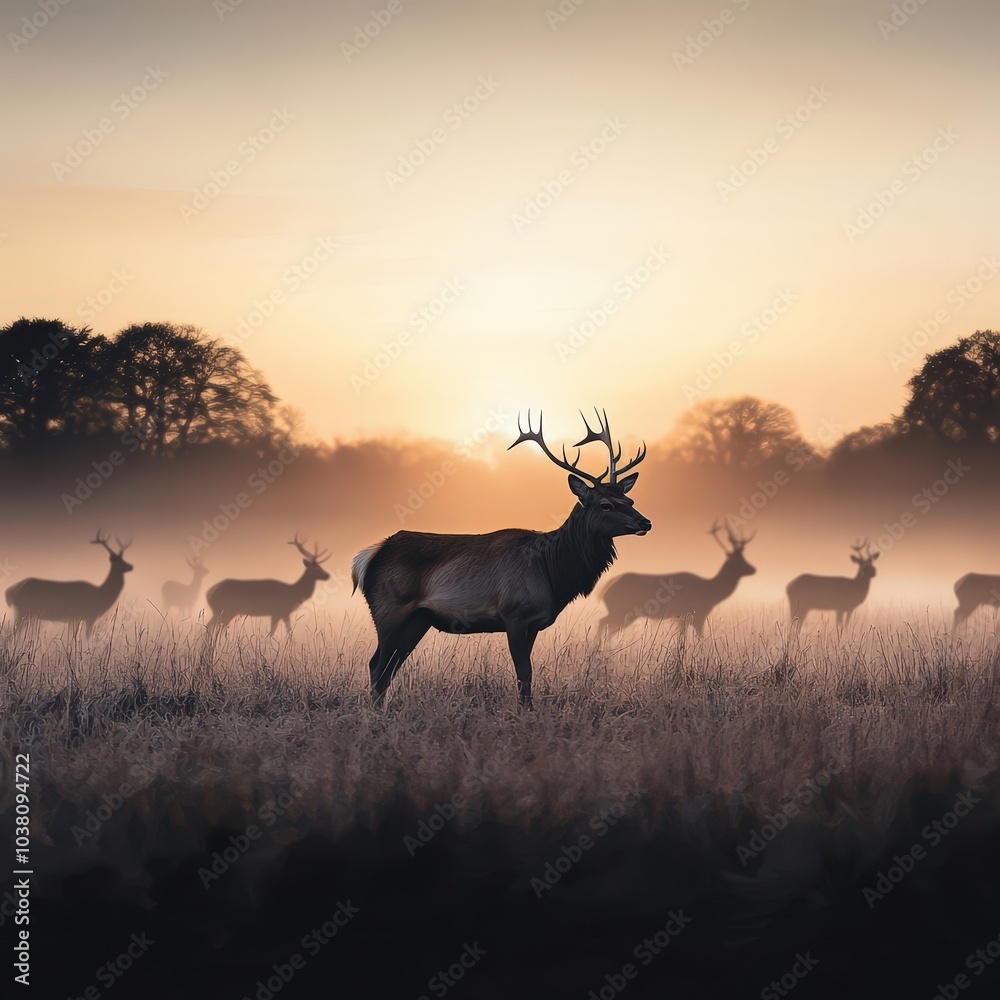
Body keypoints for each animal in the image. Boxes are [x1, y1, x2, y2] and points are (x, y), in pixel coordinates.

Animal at [4, 531, 133, 637]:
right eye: (119, 561)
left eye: (123, 559)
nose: (131, 566)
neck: (101, 594)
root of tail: (12, 590)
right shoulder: (89, 615)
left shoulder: (74, 618)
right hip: (23, 610)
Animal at [352, 409, 651, 707]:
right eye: (605, 504)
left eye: (630, 501)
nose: (645, 522)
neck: (552, 572)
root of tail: (370, 557)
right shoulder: (514, 614)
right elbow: (523, 672)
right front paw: (524, 712)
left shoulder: (534, 623)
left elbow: (527, 673)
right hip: (389, 609)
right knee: (377, 665)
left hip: (418, 619)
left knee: (390, 667)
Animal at [597, 521, 756, 637]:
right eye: (739, 561)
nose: (753, 569)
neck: (710, 593)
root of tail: (605, 589)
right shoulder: (697, 612)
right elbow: (700, 636)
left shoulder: (682, 617)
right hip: (620, 608)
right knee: (603, 622)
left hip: (626, 612)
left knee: (608, 626)